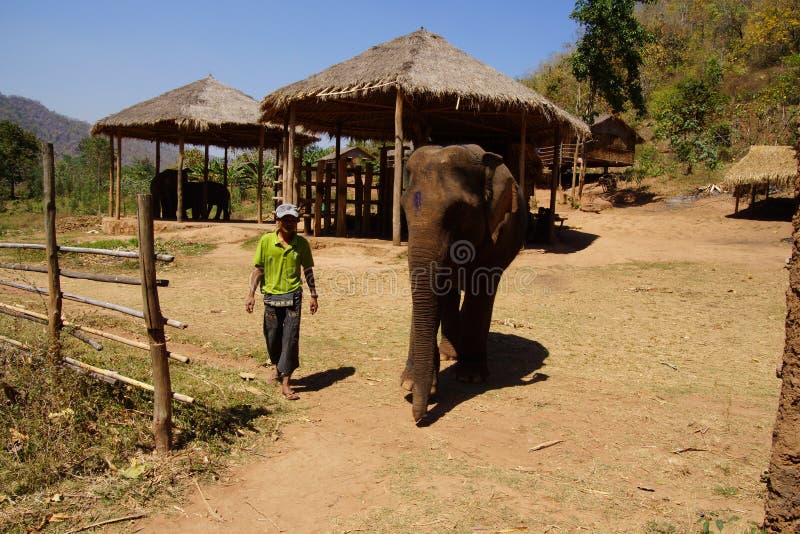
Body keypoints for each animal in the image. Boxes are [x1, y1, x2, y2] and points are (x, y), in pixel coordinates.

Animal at [399, 144, 527, 423]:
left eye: (457, 210)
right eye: (403, 207)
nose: (418, 418)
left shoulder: (496, 234)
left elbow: (480, 291)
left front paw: (470, 377)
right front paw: (411, 384)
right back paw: (451, 354)